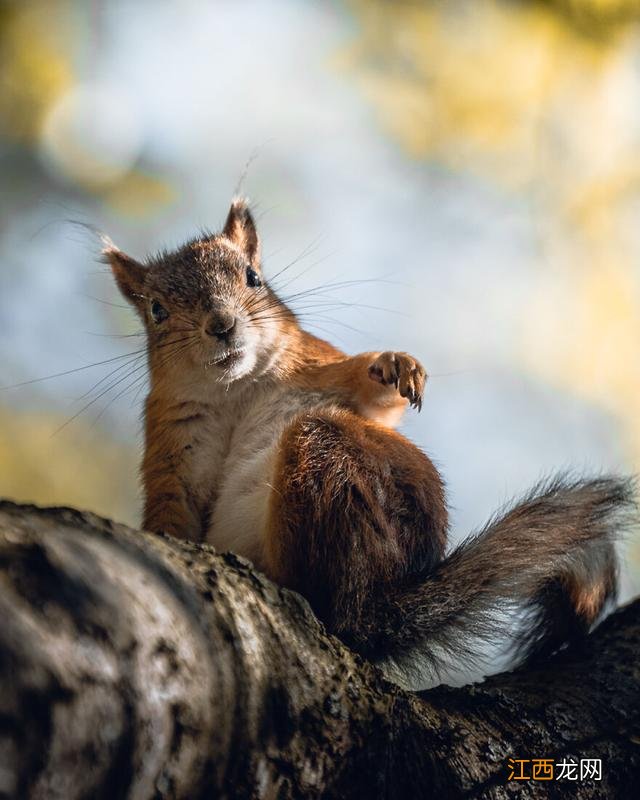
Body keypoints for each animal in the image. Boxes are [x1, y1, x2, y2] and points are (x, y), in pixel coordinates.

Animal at [105, 197, 636, 684]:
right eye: (157, 310)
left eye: (253, 278)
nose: (221, 325)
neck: (235, 389)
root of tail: (379, 611)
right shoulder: (172, 443)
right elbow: (173, 508)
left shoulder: (320, 365)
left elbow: (373, 392)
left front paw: (395, 364)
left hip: (327, 461)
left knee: (324, 599)